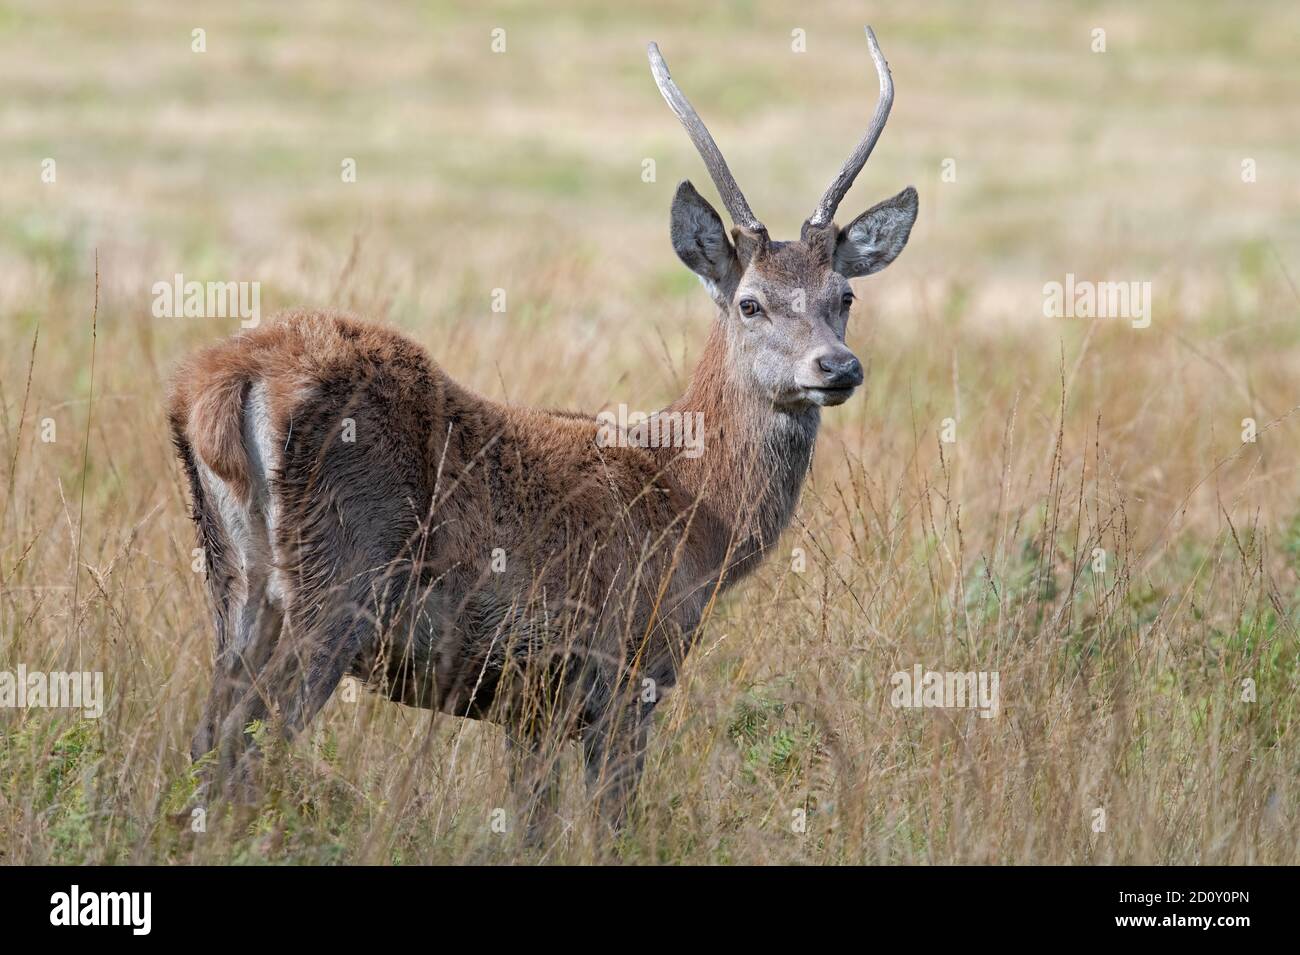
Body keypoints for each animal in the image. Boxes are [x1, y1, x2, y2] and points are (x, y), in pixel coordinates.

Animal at [167, 26, 915, 831]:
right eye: (750, 302)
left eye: (845, 295)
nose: (837, 366)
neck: (697, 517)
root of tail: (226, 381)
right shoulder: (622, 668)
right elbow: (609, 822)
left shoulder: (526, 699)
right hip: (337, 583)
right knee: (252, 748)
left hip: (234, 587)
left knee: (207, 742)